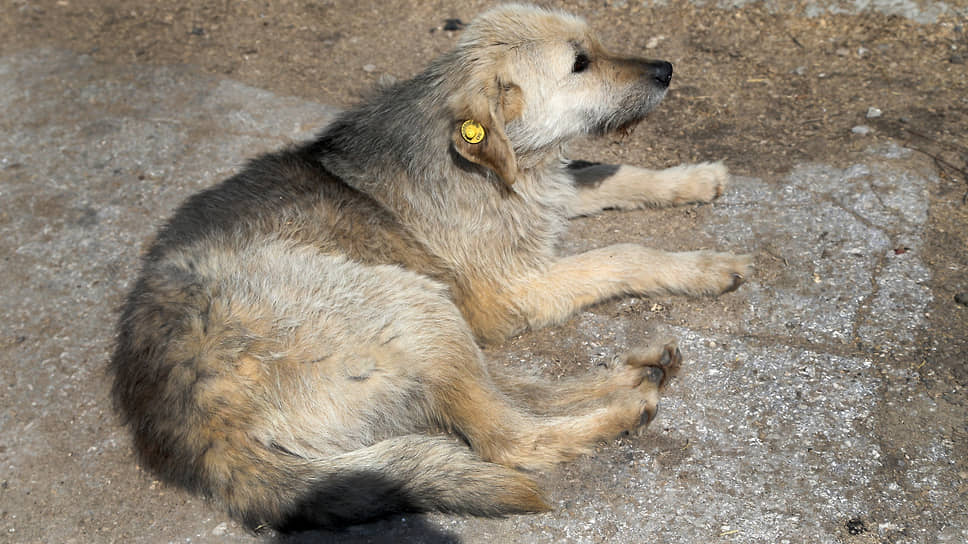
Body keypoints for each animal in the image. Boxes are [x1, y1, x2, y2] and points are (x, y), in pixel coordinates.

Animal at [109, 3, 752, 532]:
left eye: (596, 44)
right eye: (580, 63)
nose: (667, 69)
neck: (491, 161)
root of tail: (198, 425)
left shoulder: (547, 196)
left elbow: (608, 173)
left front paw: (692, 178)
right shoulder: (510, 292)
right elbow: (622, 253)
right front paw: (703, 266)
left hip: (419, 325)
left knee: (508, 391)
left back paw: (634, 372)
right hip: (409, 303)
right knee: (508, 437)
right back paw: (622, 409)